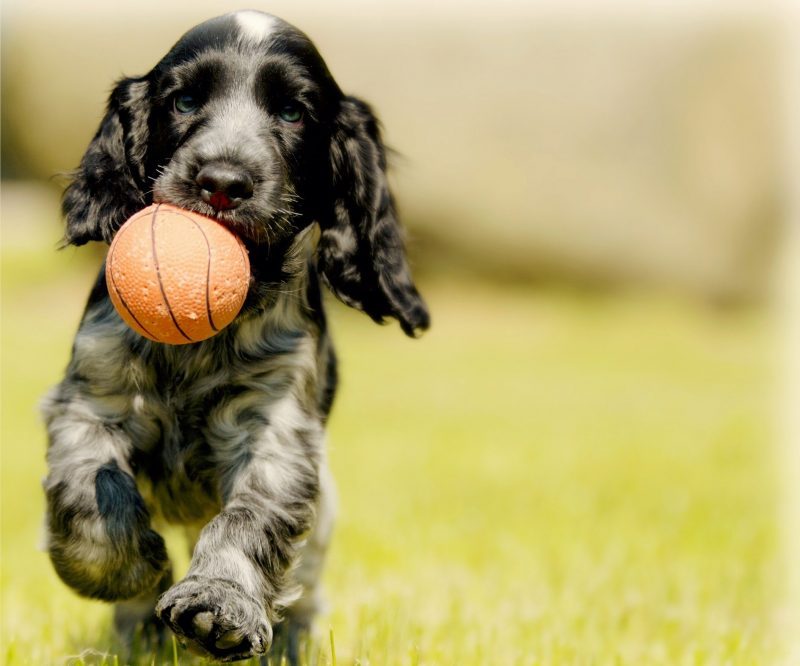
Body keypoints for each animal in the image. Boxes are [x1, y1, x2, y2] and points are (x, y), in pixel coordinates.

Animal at [42, 10, 432, 660]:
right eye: (184, 101)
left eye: (293, 112)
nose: (222, 181)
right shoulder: (92, 395)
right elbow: (88, 483)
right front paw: (123, 569)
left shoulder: (276, 428)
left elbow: (249, 517)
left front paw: (219, 606)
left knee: (305, 583)